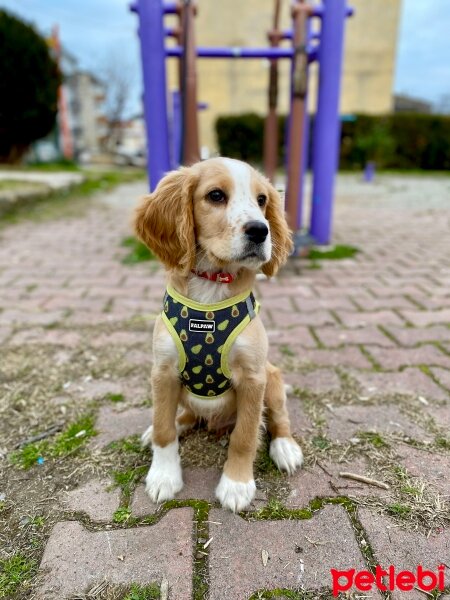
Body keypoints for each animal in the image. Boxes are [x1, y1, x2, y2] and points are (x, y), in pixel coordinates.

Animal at [134, 156, 302, 510]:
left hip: (273, 378)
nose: (261, 230)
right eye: (215, 196)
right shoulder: (163, 372)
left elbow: (245, 436)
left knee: (278, 418)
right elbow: (164, 429)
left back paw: (285, 447)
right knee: (180, 416)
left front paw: (236, 484)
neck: (210, 292)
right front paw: (164, 476)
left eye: (262, 200)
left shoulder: (253, 378)